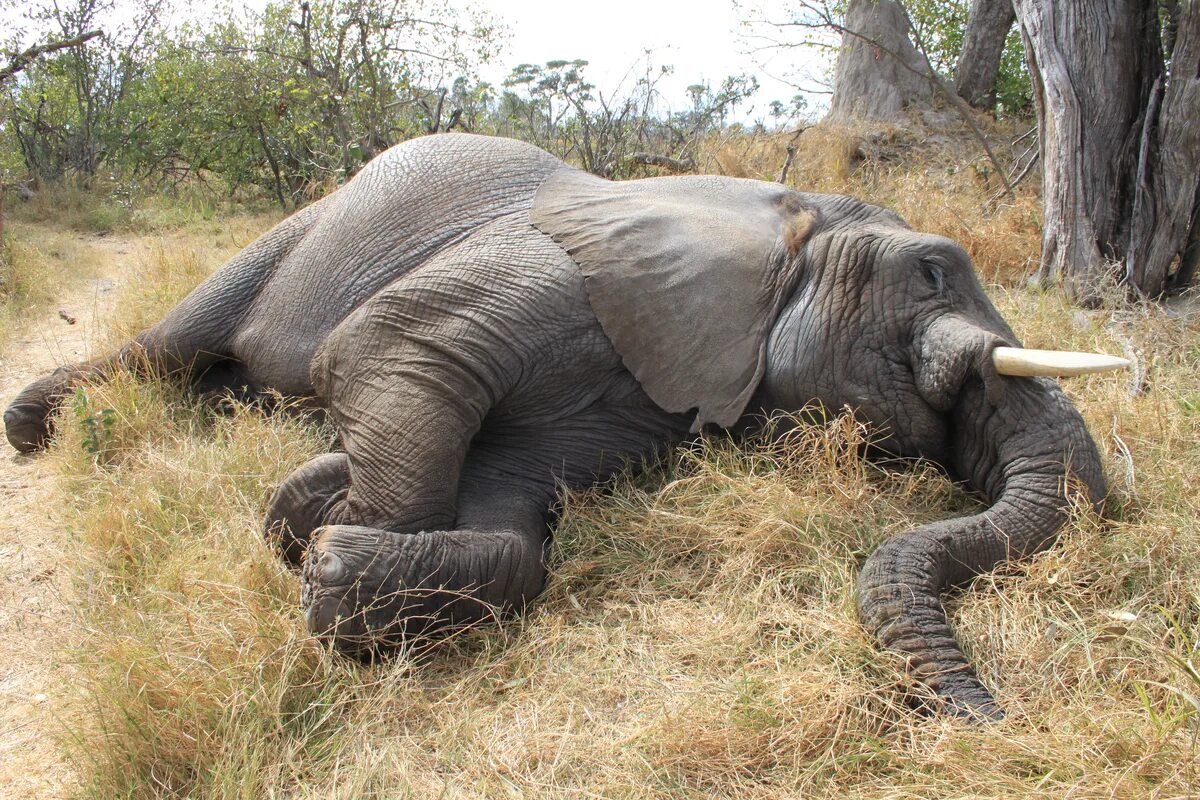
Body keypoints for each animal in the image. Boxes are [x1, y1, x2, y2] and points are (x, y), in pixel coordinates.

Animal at [4, 131, 1118, 719]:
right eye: (932, 271)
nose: (990, 713)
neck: (771, 216)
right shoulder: (558, 269)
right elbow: (394, 346)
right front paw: (311, 526)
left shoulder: (650, 399)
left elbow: (513, 522)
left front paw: (322, 530)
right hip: (303, 228)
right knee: (171, 341)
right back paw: (35, 426)